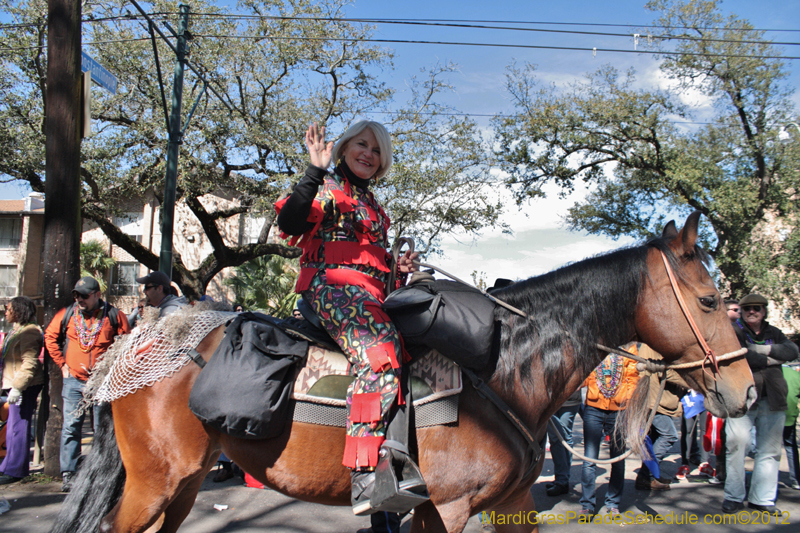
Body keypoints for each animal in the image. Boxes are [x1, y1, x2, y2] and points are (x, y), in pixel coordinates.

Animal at [51, 212, 756, 532]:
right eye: (709, 300)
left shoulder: (509, 504)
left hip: (184, 482)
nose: (746, 389)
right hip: (154, 484)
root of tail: (137, 343)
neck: (501, 371)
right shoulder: (446, 508)